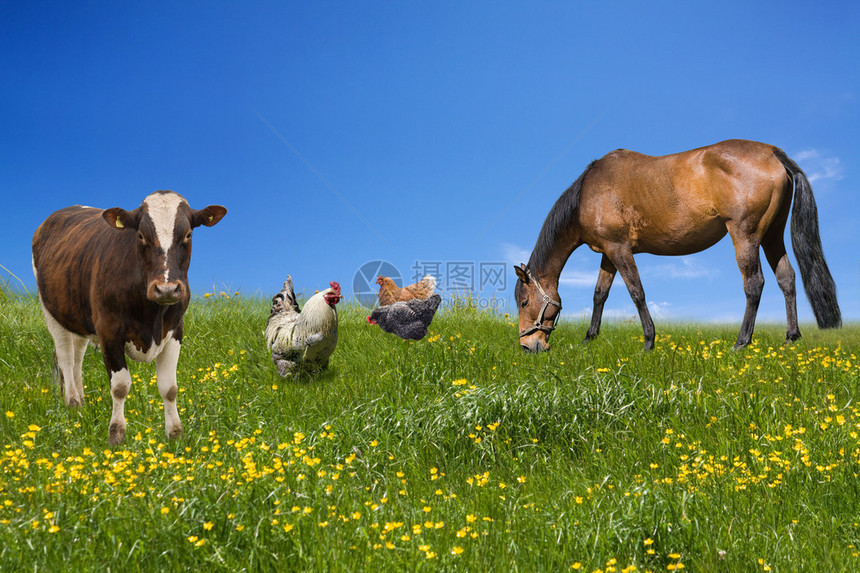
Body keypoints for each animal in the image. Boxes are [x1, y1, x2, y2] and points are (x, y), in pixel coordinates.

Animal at [34, 190, 228, 444]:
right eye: (140, 235)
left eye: (188, 234)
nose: (166, 289)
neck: (151, 315)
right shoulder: (108, 331)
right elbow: (120, 386)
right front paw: (116, 434)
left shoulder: (175, 330)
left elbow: (169, 387)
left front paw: (175, 434)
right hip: (51, 312)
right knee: (65, 357)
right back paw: (73, 404)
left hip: (78, 317)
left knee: (77, 358)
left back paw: (82, 404)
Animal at [512, 139, 844, 354]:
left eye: (524, 302)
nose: (529, 346)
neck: (588, 192)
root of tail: (773, 153)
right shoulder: (609, 253)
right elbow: (599, 295)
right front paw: (589, 339)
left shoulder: (619, 250)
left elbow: (636, 292)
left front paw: (648, 342)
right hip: (772, 235)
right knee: (786, 278)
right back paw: (791, 337)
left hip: (745, 235)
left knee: (755, 284)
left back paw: (741, 342)